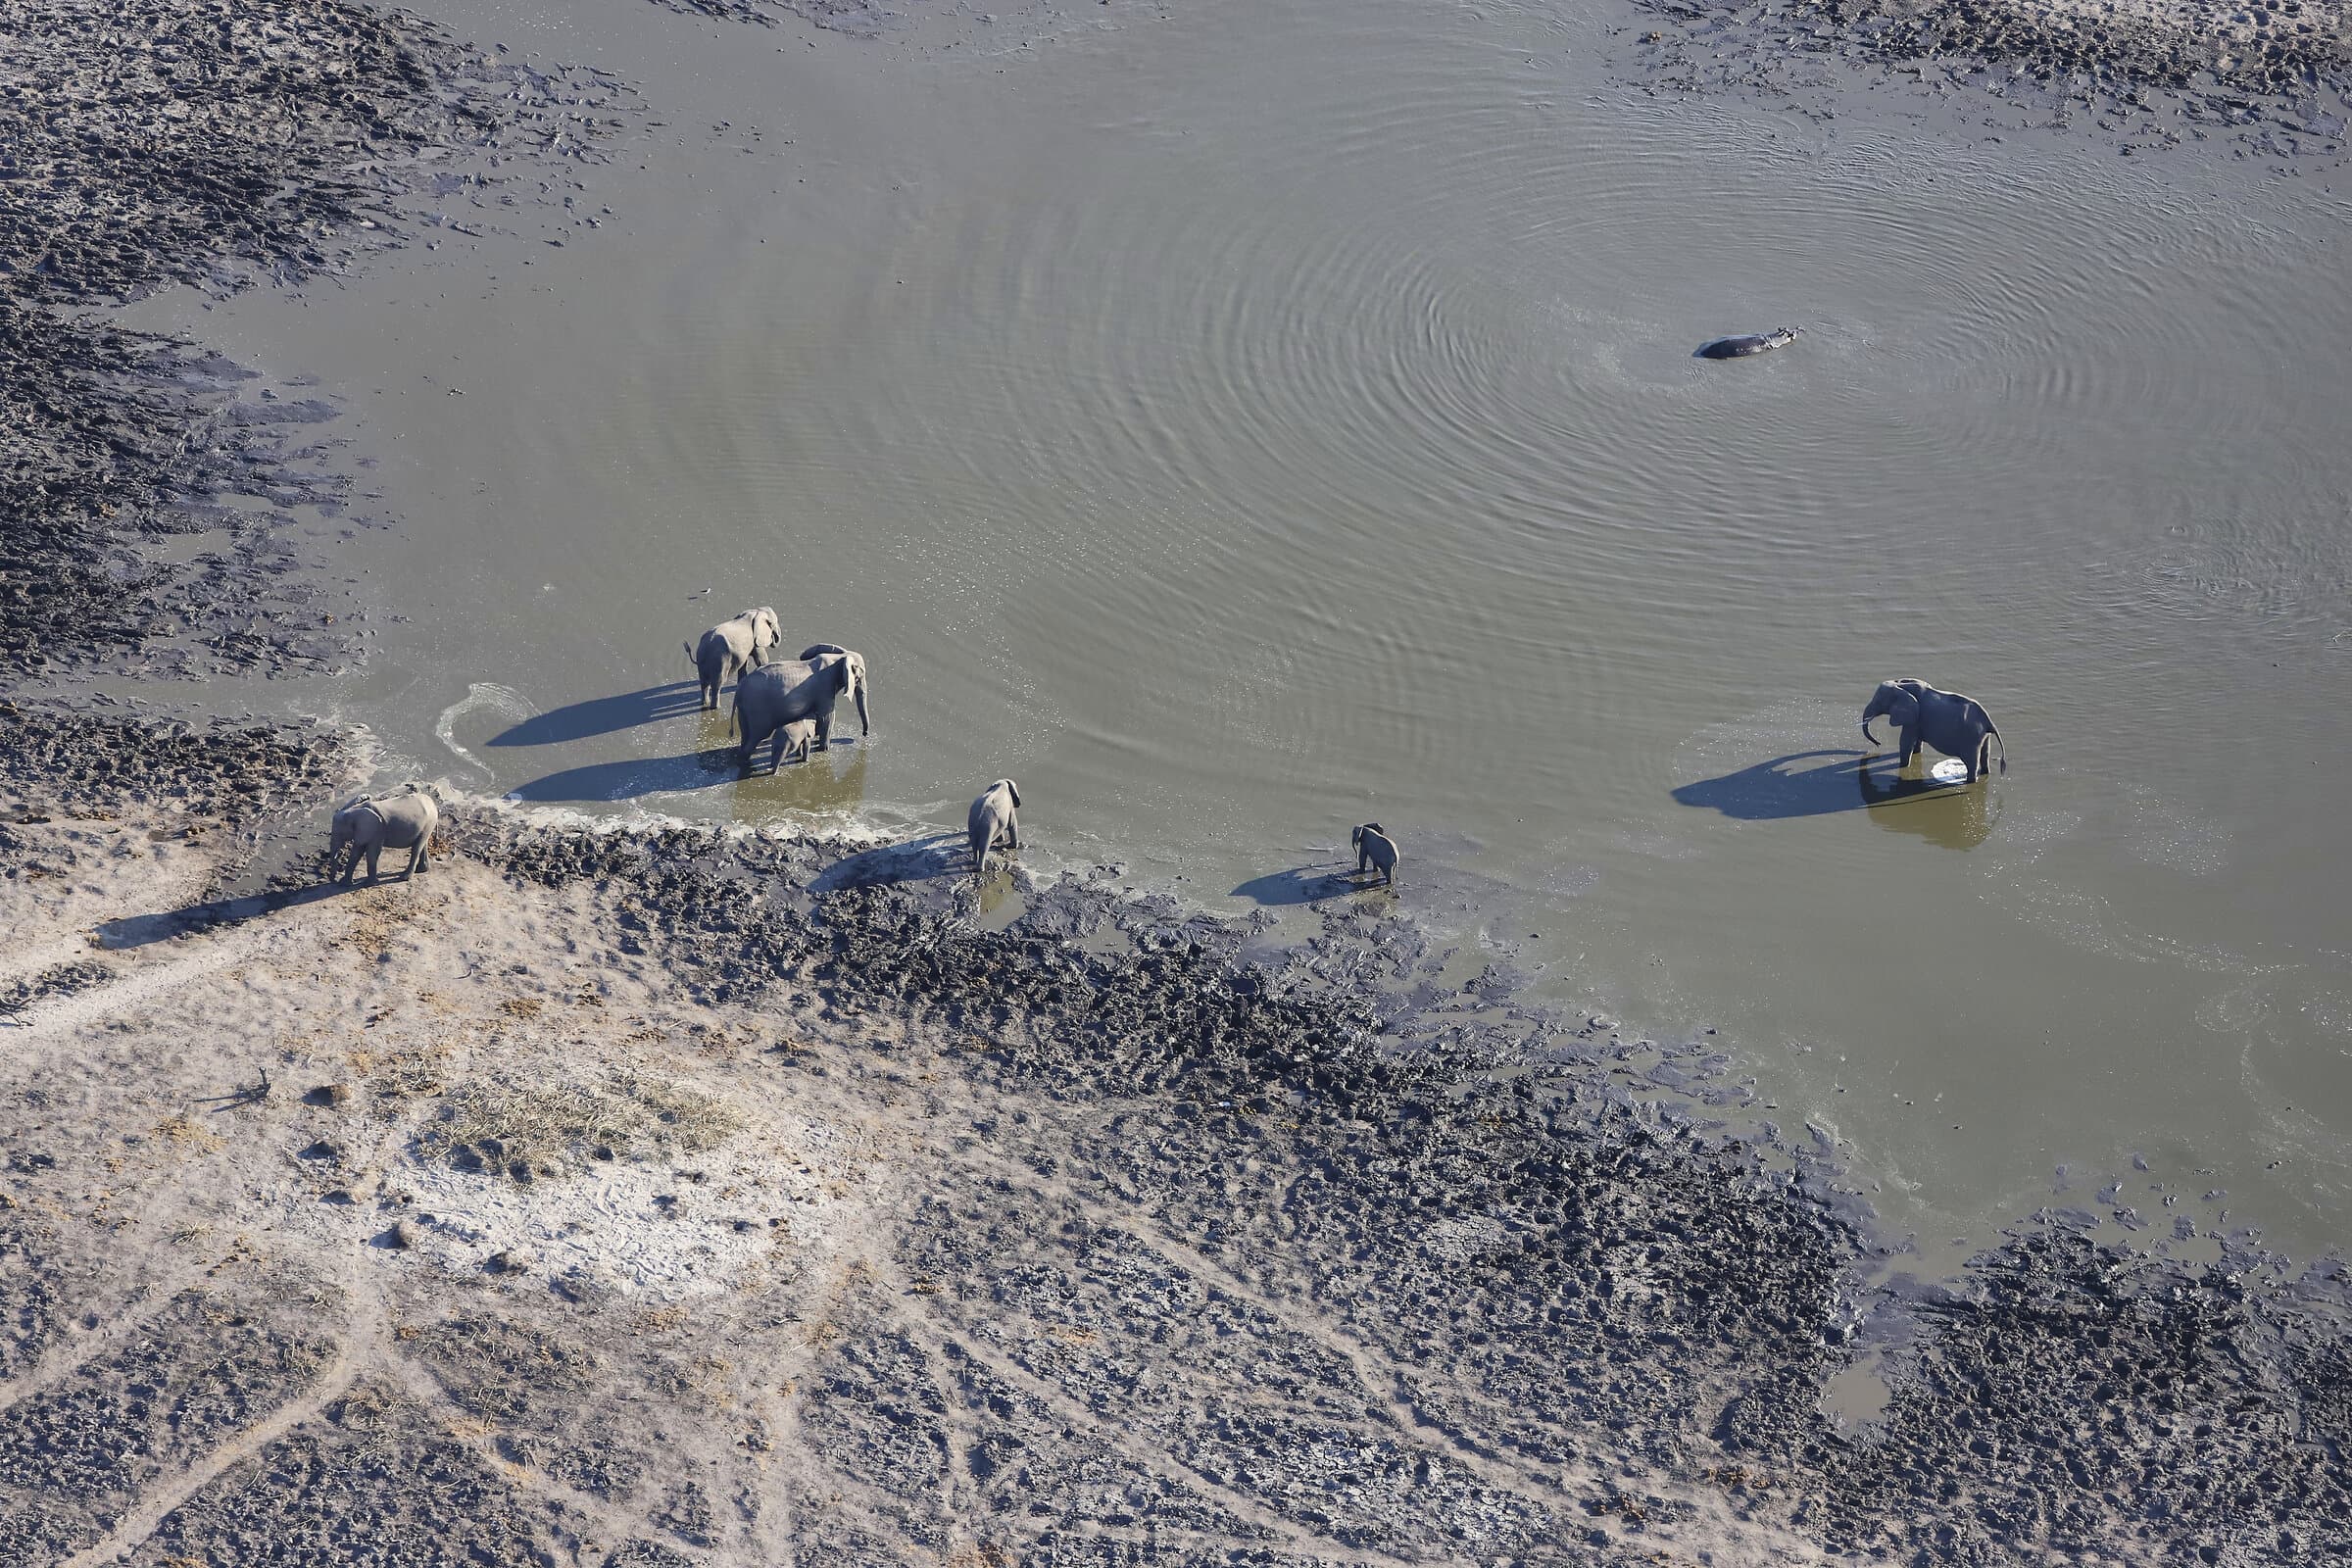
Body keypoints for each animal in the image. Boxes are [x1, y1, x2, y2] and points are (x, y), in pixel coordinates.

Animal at [731, 651, 859, 773]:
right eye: (859, 676)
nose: (863, 734)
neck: (839, 657)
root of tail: (739, 690)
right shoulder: (826, 686)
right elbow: (828, 716)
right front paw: (823, 750)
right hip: (757, 708)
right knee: (758, 735)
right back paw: (745, 763)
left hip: (744, 709)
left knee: (747, 734)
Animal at [1861, 678, 2007, 782]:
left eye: (1878, 701)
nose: (1878, 744)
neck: (1901, 686)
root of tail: (1989, 721)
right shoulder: (1917, 720)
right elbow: (1915, 741)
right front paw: (1916, 753)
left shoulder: (1914, 719)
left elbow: (1906, 742)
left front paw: (1903, 765)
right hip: (1983, 735)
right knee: (1985, 755)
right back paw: (1984, 774)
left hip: (1971, 738)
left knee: (1971, 762)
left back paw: (1970, 781)